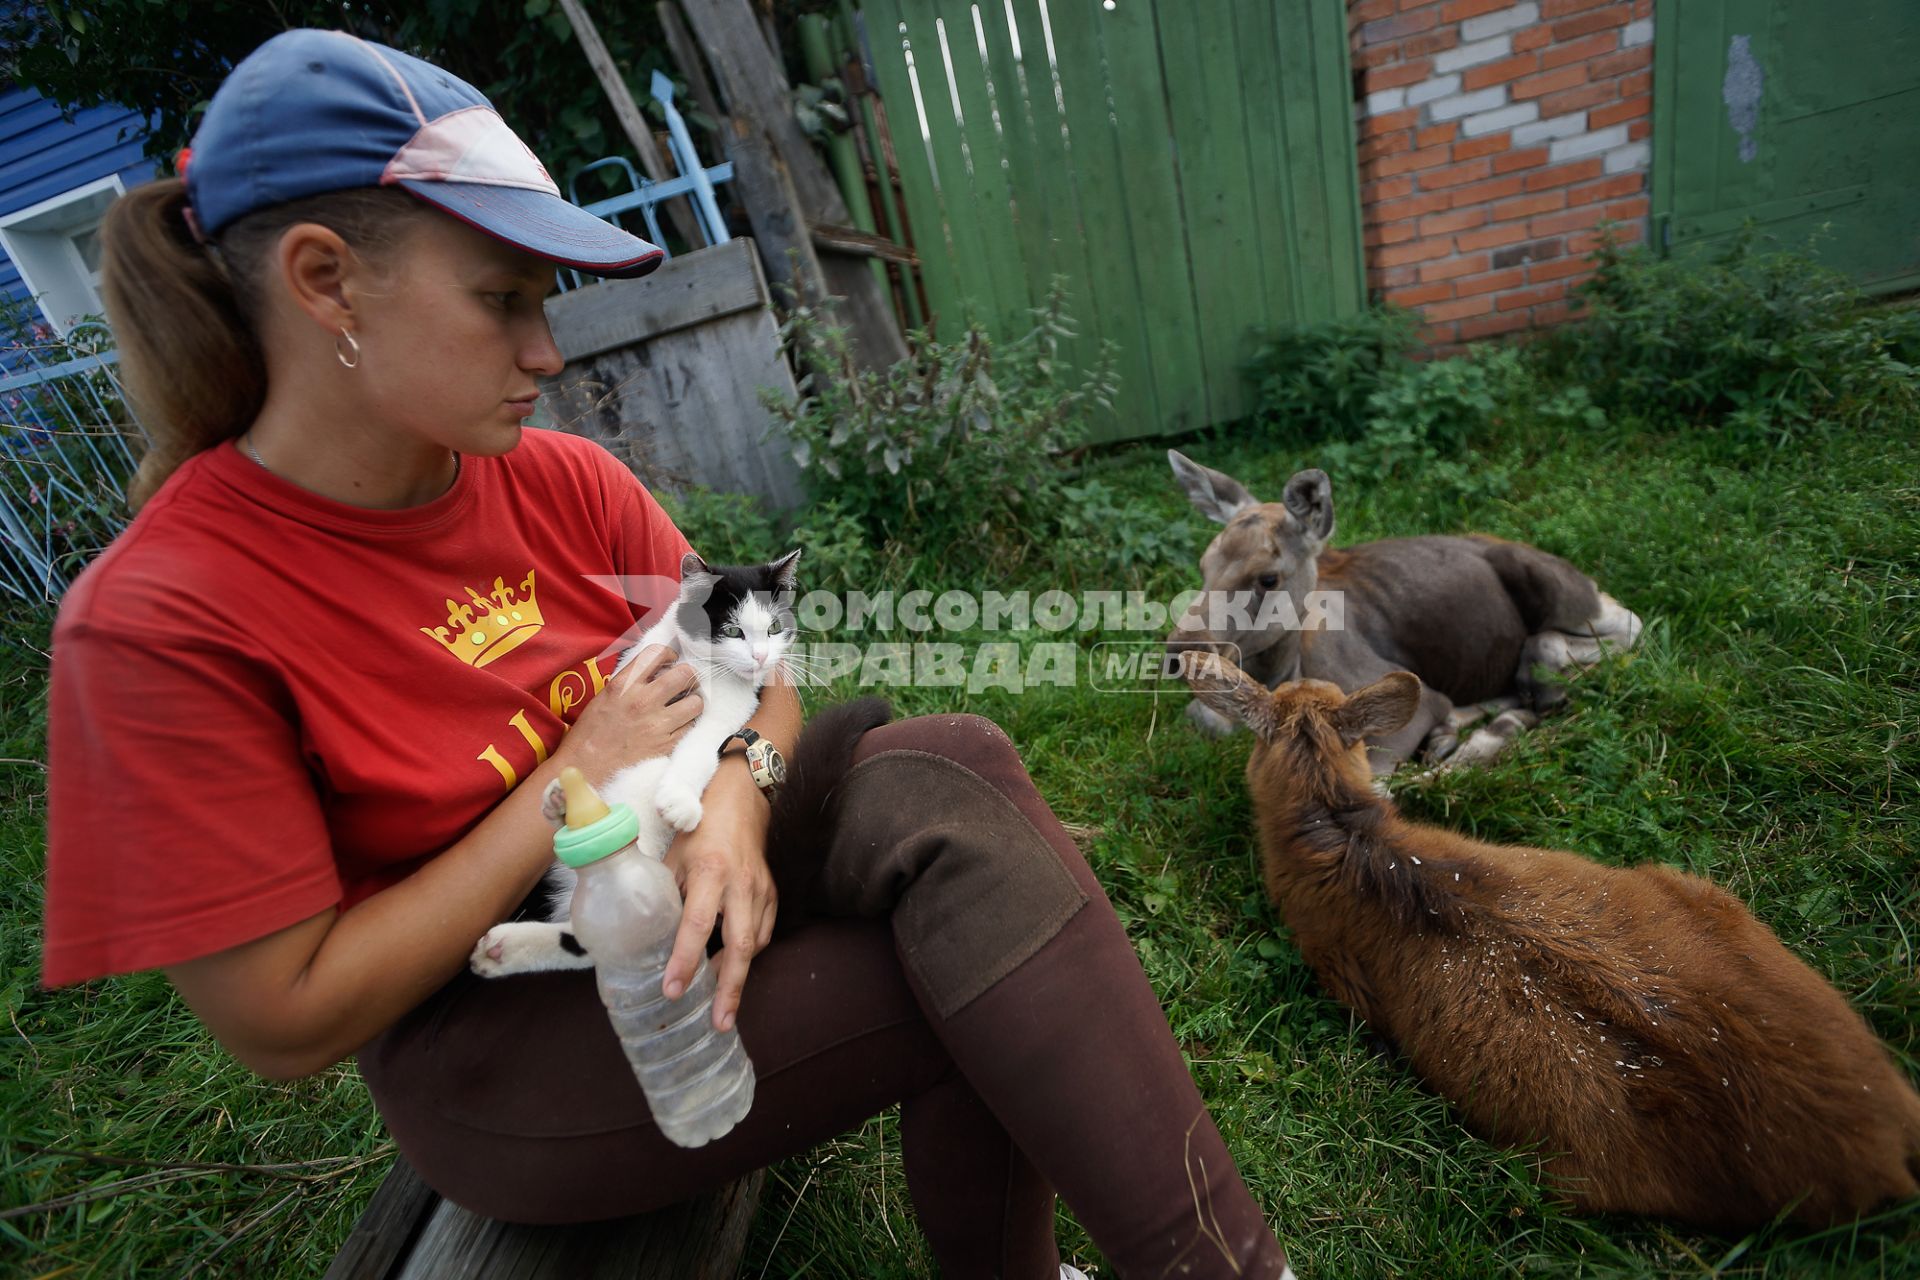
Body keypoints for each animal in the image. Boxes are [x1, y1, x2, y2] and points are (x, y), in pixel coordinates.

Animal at [468, 545, 887, 974]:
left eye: (773, 628)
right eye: (732, 631)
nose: (759, 657)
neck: (703, 666)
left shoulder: (733, 708)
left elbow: (701, 746)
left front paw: (679, 801)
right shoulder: (644, 658)